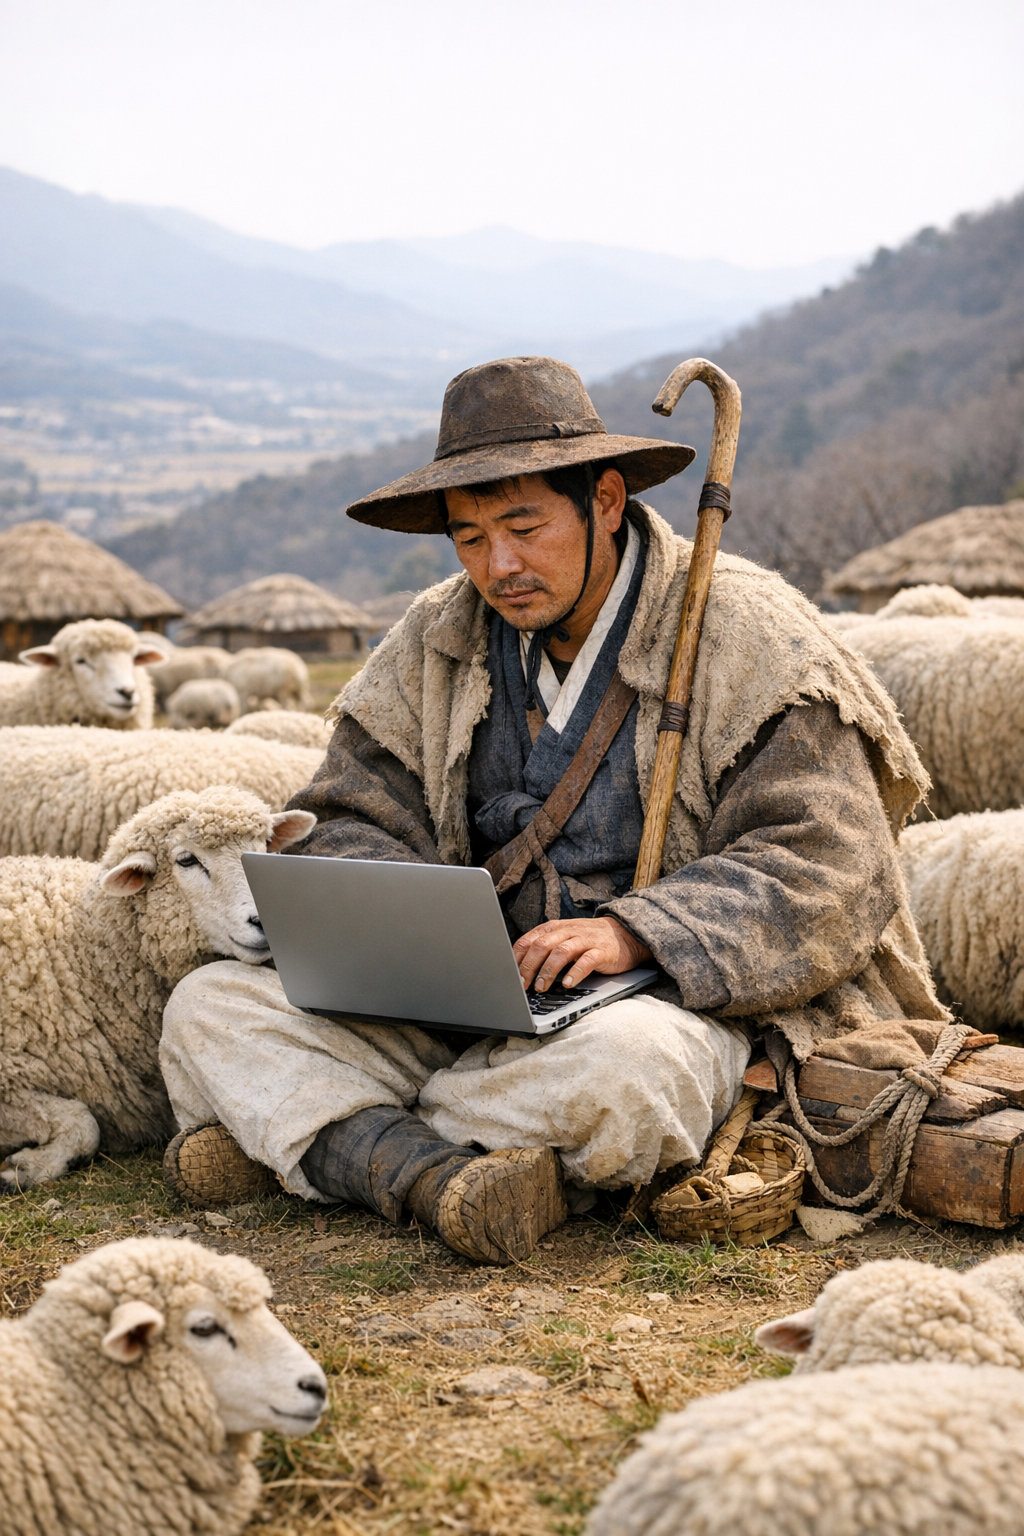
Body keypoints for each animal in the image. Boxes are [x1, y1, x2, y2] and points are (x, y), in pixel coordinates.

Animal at [0, 785, 316, 1189]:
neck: (83, 960)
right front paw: (24, 1167)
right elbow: (84, 1124)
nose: (264, 921)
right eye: (186, 860)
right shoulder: (9, 1078)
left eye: (262, 846)